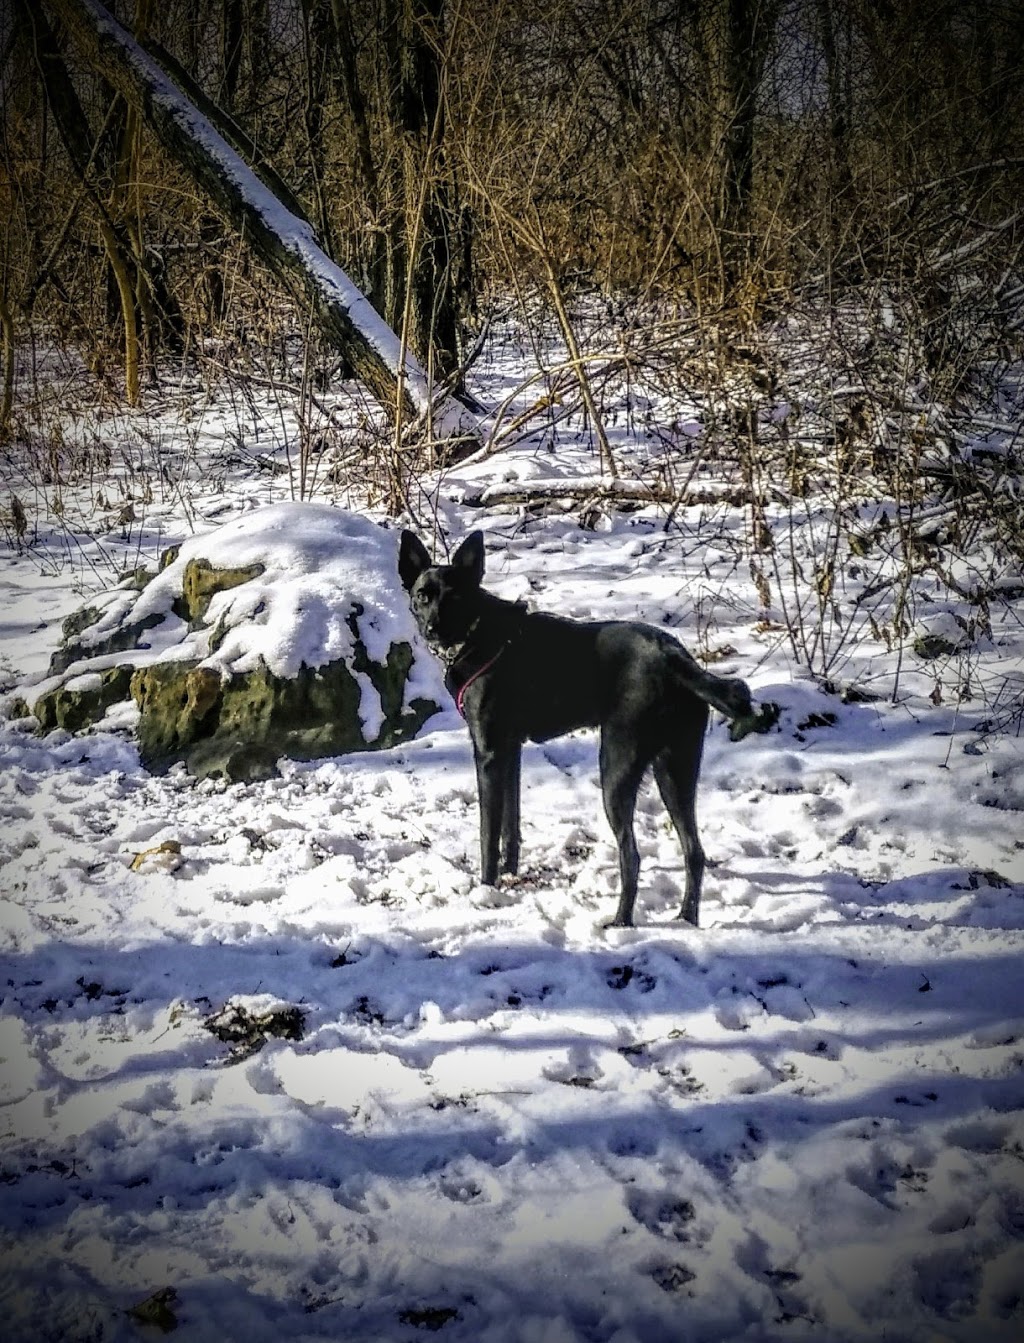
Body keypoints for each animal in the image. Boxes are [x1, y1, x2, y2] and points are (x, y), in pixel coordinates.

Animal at [395, 529, 768, 929]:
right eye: (423, 595)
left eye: (456, 597)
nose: (432, 629)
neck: (478, 634)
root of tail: (676, 659)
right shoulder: (511, 750)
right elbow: (511, 824)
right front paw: (510, 875)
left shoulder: (489, 753)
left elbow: (488, 834)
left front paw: (486, 889)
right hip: (676, 768)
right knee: (694, 851)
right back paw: (686, 918)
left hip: (617, 765)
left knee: (632, 855)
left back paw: (620, 922)